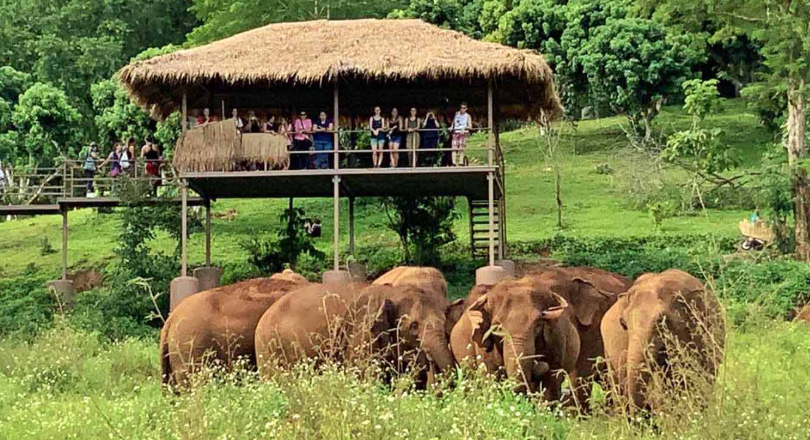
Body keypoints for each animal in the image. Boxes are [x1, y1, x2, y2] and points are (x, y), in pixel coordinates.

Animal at [255, 282, 455, 385]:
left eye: (444, 322)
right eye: (413, 326)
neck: (393, 291)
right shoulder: (361, 334)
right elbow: (364, 376)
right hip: (270, 351)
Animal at [450, 276, 580, 400]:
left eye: (538, 324)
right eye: (498, 327)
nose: (538, 364)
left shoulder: (556, 340)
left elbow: (552, 380)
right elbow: (491, 375)